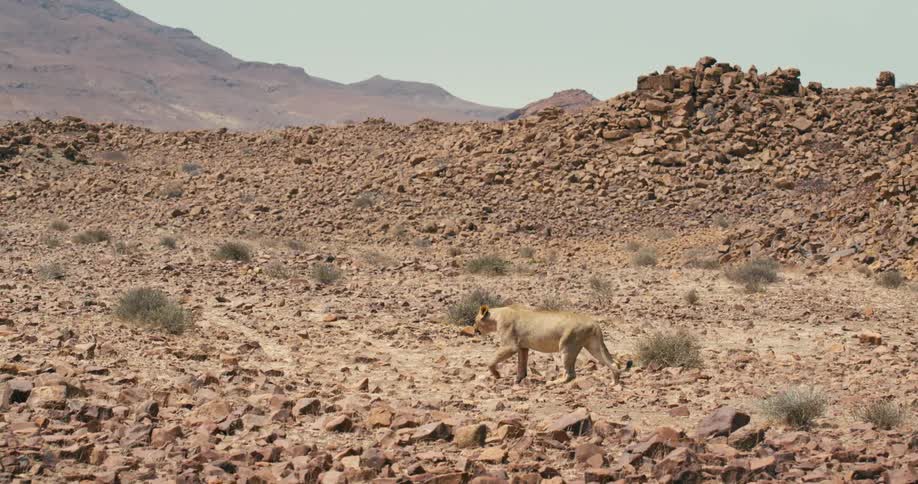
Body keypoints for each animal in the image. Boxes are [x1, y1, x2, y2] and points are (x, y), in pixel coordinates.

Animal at [473, 304, 632, 385]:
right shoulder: (523, 347)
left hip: (567, 346)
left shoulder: (510, 346)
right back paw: (614, 382)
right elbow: (521, 364)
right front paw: (518, 379)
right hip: (593, 346)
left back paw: (554, 382)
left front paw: (497, 374)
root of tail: (594, 322)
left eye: (475, 320)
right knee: (613, 363)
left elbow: (491, 361)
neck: (496, 317)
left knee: (571, 374)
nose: (474, 329)